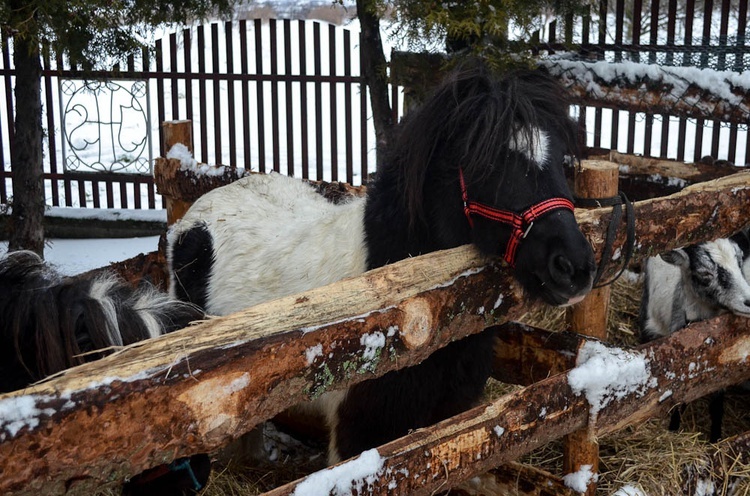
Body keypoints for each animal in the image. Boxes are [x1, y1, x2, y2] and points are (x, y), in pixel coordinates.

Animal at [640, 229, 750, 442]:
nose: (749, 302)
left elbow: (717, 405)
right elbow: (678, 401)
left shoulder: (722, 363)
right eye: (704, 274)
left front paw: (715, 439)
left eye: (740, 261)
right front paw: (673, 428)